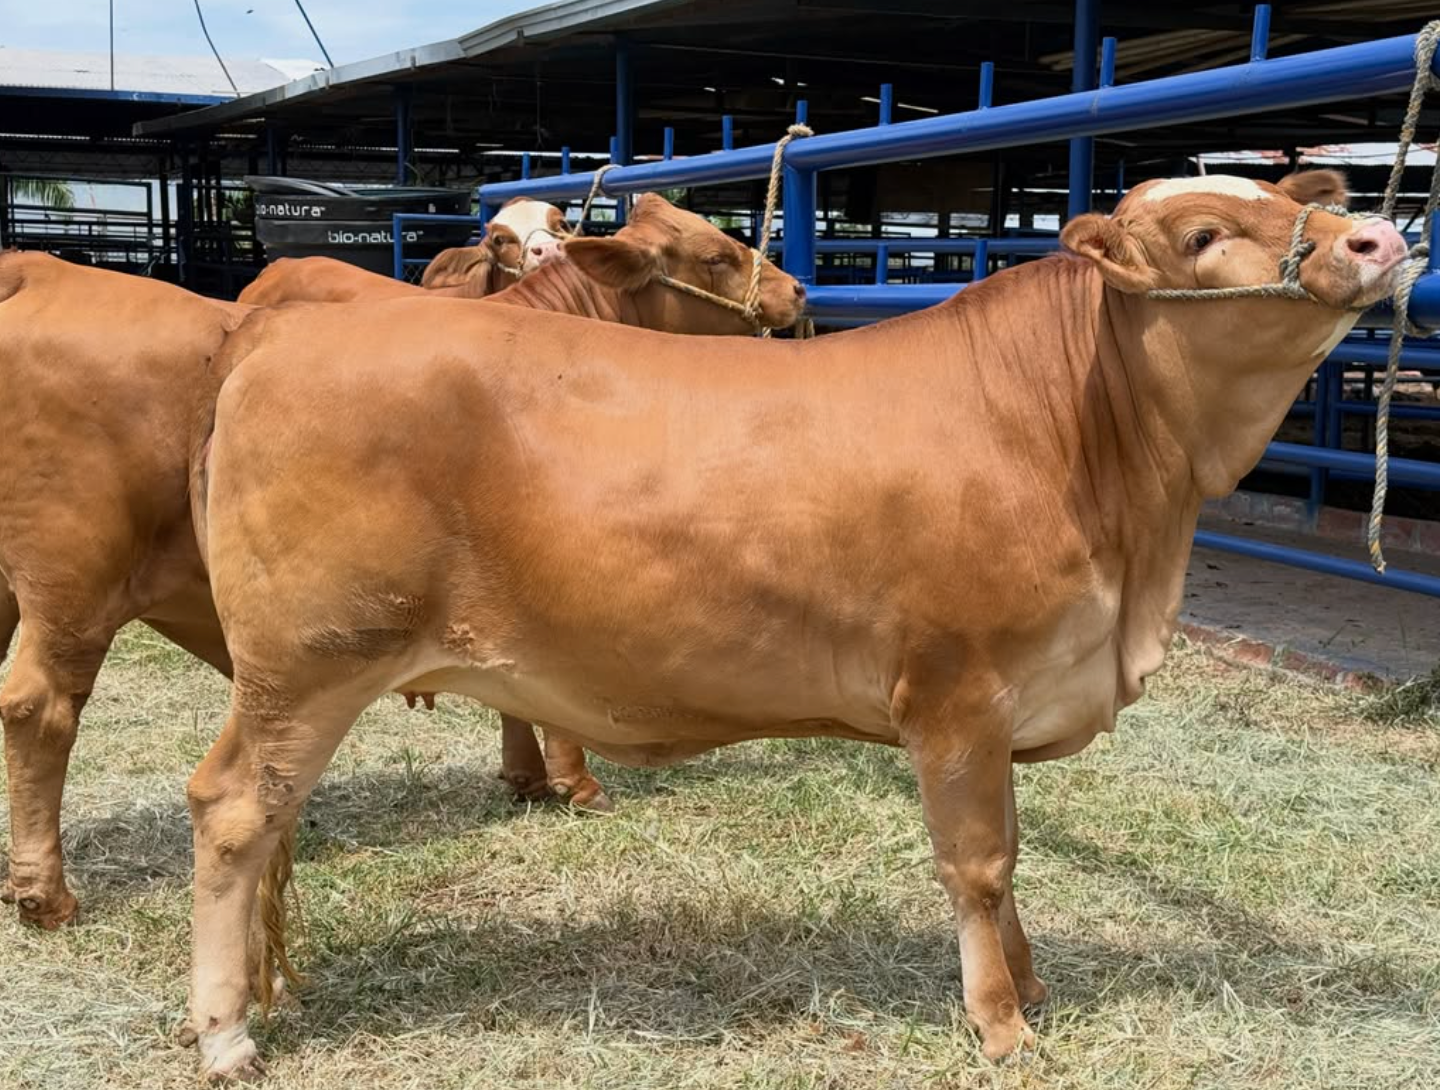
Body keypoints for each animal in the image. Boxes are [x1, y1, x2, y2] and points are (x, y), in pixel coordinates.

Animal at [0, 199, 803, 931]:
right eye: (716, 254)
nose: (795, 289)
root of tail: (34, 268)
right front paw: (575, 783)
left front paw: (526, 777)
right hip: (74, 585)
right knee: (38, 707)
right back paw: (45, 893)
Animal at [177, 171, 1408, 1080]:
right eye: (1204, 233)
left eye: (1286, 196)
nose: (1380, 236)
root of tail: (278, 334)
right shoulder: (956, 694)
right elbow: (978, 864)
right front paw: (1001, 1023)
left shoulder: (1009, 704)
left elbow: (1009, 863)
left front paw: (1032, 985)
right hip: (304, 665)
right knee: (234, 812)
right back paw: (224, 1033)